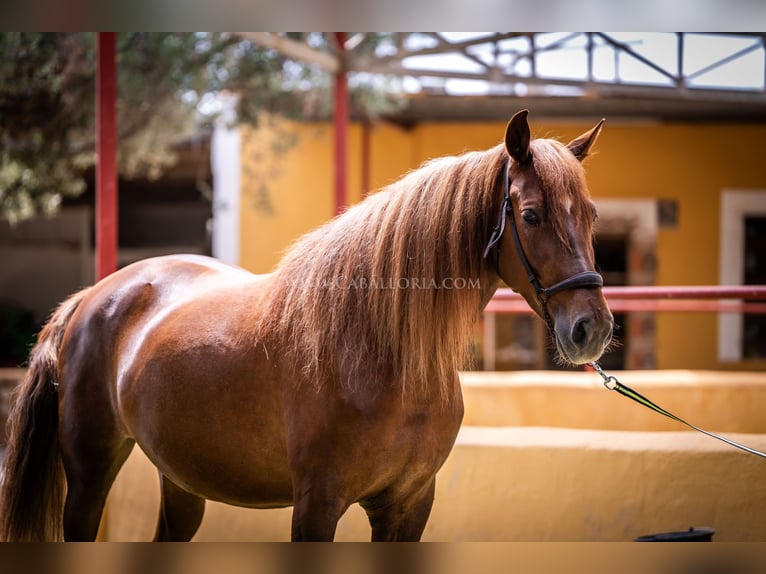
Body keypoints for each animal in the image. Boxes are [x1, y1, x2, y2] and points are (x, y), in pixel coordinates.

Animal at [0, 110, 612, 544]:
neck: (379, 355)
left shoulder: (410, 506)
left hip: (181, 480)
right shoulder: (317, 506)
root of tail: (90, 299)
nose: (593, 329)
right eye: (530, 215)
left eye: (590, 215)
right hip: (87, 478)